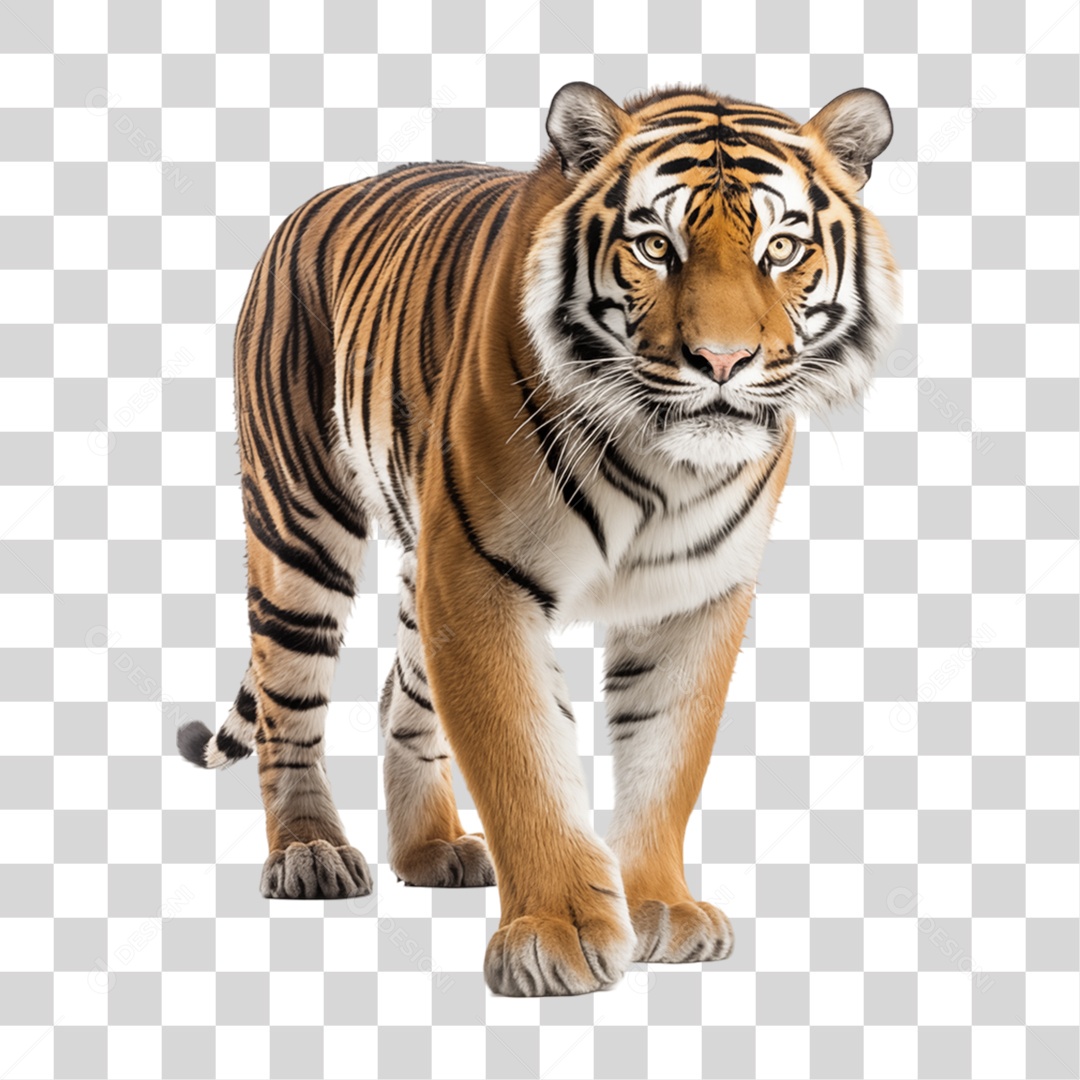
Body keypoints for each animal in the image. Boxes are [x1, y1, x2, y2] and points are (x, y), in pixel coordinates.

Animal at [177, 81, 900, 997]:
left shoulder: (694, 598)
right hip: (300, 524)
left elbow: (668, 758)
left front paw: (661, 907)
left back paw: (431, 851)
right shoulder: (481, 577)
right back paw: (310, 853)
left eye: (780, 249)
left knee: (397, 698)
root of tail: (313, 202)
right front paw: (556, 934)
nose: (722, 361)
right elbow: (522, 759)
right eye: (656, 246)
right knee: (287, 707)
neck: (665, 465)